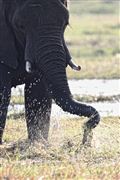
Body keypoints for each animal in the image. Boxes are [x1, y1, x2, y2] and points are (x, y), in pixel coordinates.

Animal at [0, 0, 100, 146]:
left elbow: (38, 93)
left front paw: (38, 143)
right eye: (21, 26)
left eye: (66, 24)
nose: (87, 127)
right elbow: (2, 93)